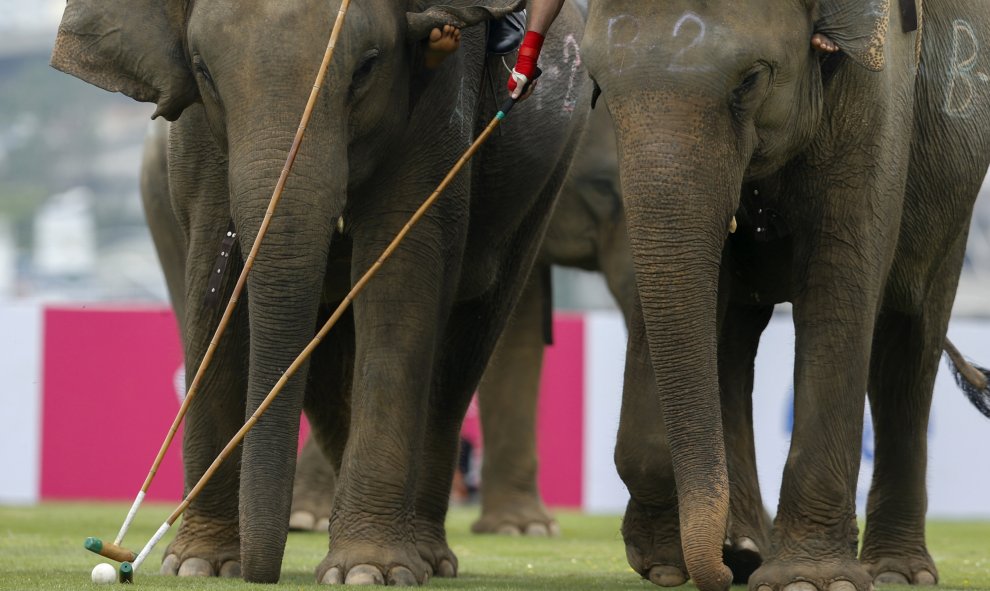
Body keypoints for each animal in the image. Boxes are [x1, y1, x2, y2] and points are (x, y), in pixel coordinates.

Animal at [52, 0, 588, 584]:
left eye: (367, 67)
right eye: (204, 72)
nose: (258, 572)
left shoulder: (439, 99)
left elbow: (401, 273)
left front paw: (369, 572)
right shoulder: (195, 136)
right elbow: (213, 276)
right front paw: (200, 565)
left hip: (542, 183)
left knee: (466, 348)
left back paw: (426, 557)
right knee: (330, 376)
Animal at [580, 1, 990, 591]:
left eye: (750, 79)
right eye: (595, 86)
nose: (717, 575)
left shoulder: (879, 89)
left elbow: (840, 274)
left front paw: (808, 580)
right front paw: (670, 561)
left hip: (954, 202)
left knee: (908, 345)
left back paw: (895, 572)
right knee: (734, 338)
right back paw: (748, 549)